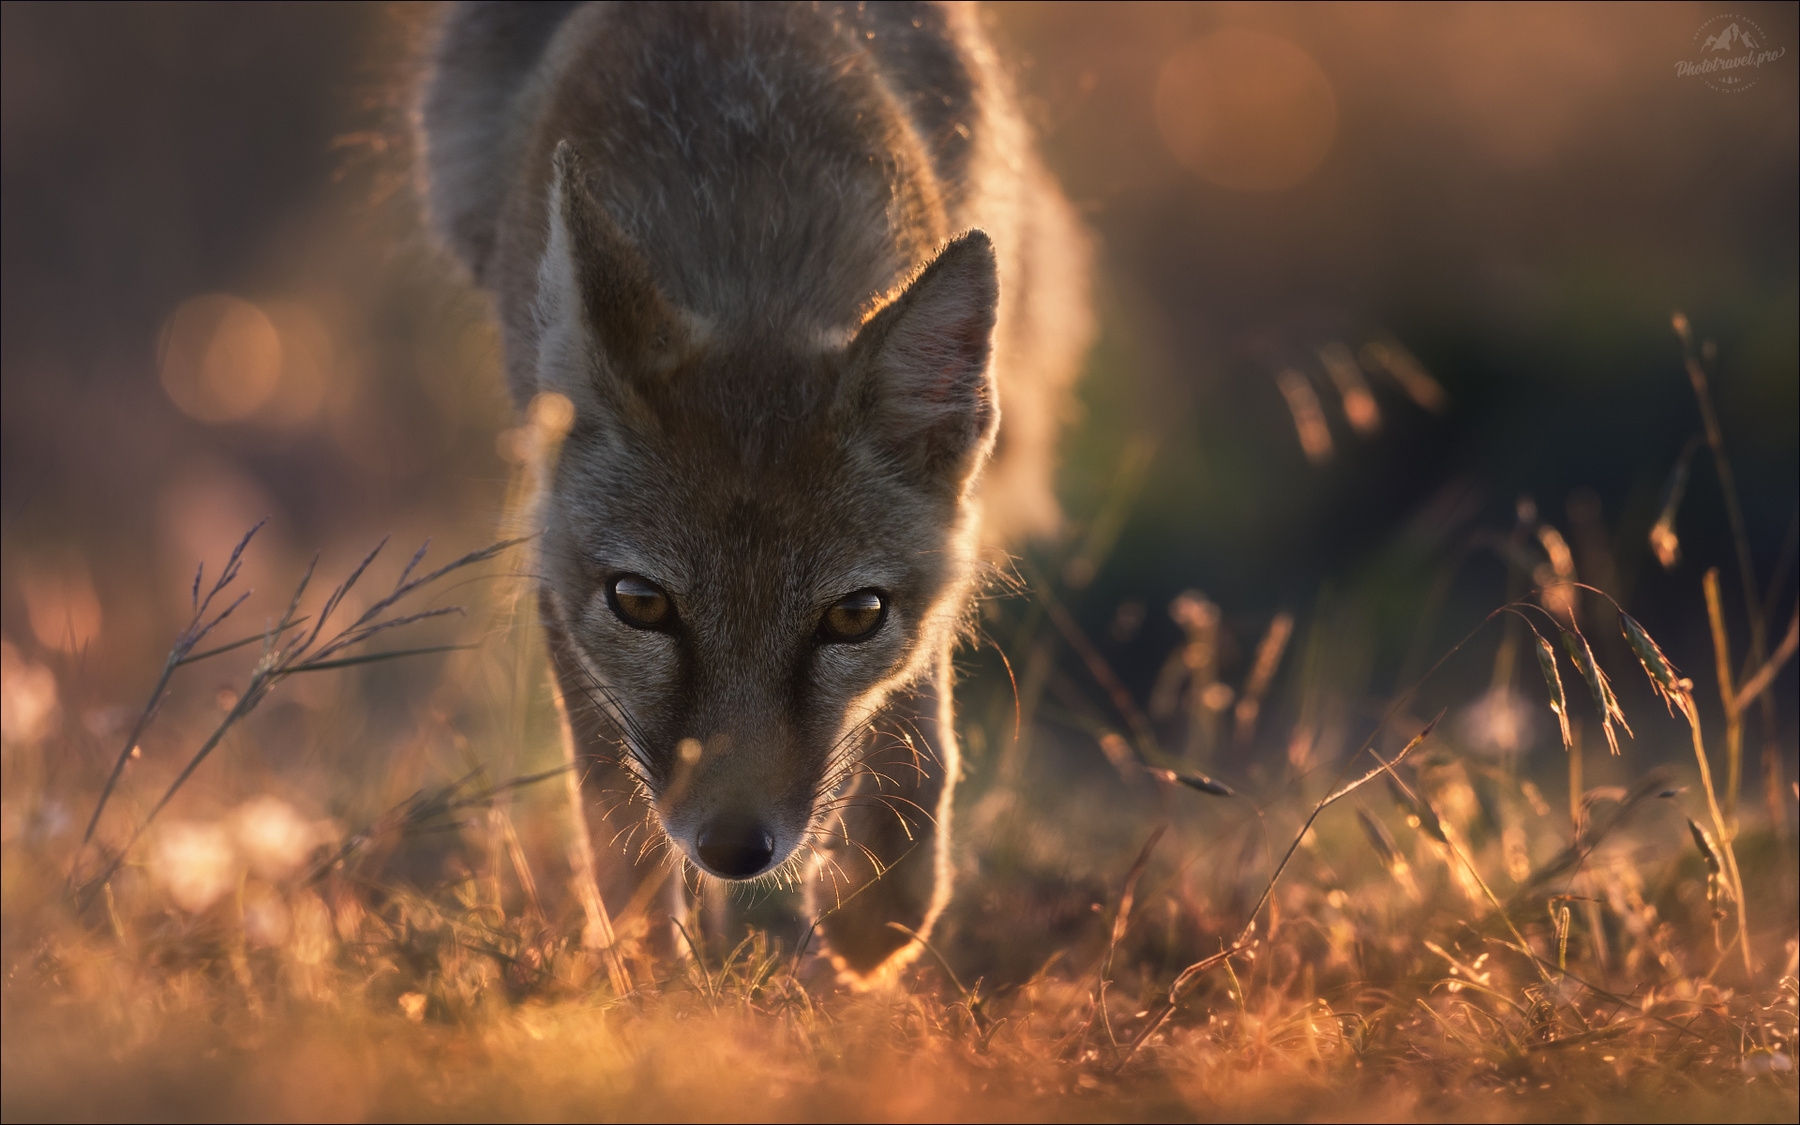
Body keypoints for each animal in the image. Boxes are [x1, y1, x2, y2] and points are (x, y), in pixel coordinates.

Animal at [417, 0, 1090, 978]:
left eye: (854, 616)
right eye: (641, 603)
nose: (735, 848)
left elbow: (920, 739)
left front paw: (878, 905)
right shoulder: (559, 575)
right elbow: (614, 817)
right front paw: (654, 979)